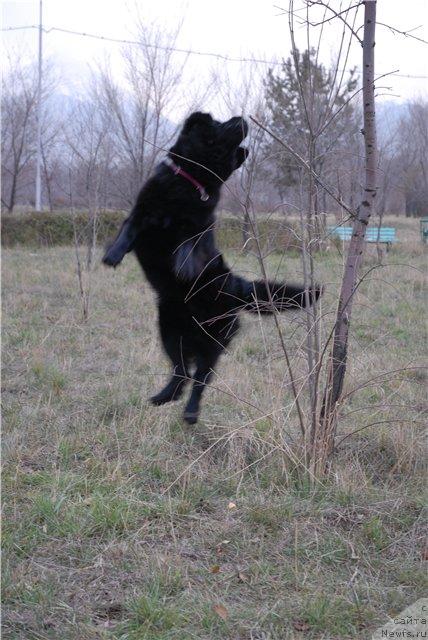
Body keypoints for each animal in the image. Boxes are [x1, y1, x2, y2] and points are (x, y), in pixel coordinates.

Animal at [102, 114, 320, 424]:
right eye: (219, 123)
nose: (242, 117)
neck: (192, 183)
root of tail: (237, 288)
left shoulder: (200, 227)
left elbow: (189, 243)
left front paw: (184, 267)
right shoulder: (143, 211)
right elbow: (128, 230)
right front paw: (112, 255)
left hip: (213, 341)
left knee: (200, 378)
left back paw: (191, 411)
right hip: (169, 328)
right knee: (181, 371)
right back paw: (164, 396)